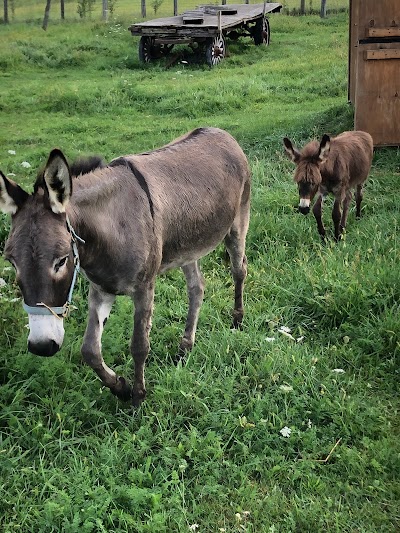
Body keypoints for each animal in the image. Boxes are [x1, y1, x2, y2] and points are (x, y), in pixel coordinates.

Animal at [0, 127, 250, 406]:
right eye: (11, 261)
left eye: (62, 260)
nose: (41, 347)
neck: (109, 231)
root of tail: (220, 132)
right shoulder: (101, 288)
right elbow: (90, 350)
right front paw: (120, 387)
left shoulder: (144, 288)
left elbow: (139, 345)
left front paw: (138, 397)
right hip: (187, 246)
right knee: (197, 288)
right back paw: (185, 348)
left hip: (238, 222)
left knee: (239, 270)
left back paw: (237, 320)